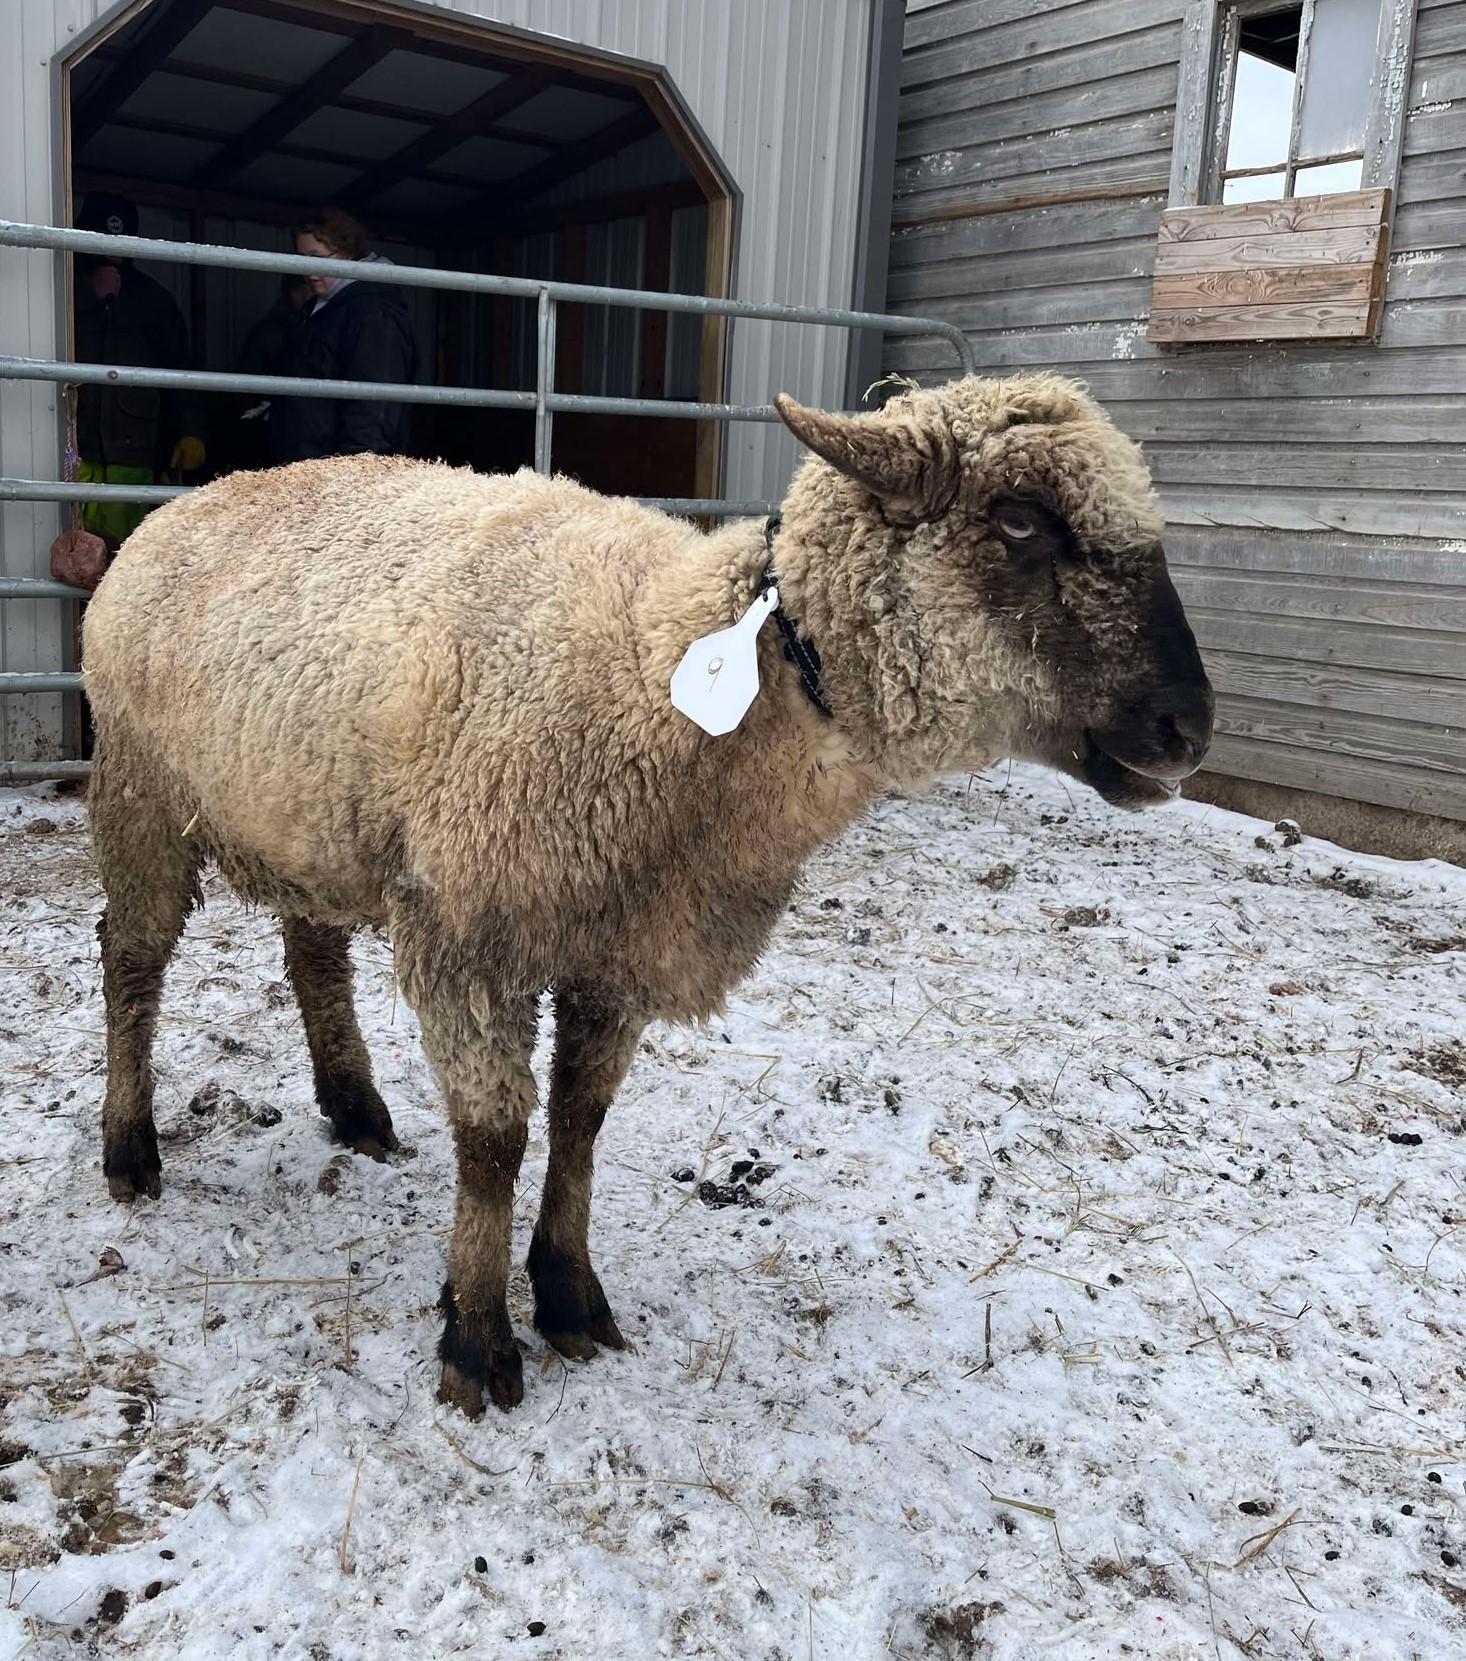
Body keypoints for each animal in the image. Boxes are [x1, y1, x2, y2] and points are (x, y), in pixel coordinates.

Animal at [82, 372, 1213, 1416]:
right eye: (1019, 520)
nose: (1188, 729)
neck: (668, 678)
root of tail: (185, 503)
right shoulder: (471, 939)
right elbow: (495, 1141)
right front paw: (477, 1334)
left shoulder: (620, 951)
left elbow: (582, 1120)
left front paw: (568, 1292)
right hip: (140, 792)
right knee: (132, 960)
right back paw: (130, 1148)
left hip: (307, 817)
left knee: (310, 950)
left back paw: (355, 1107)